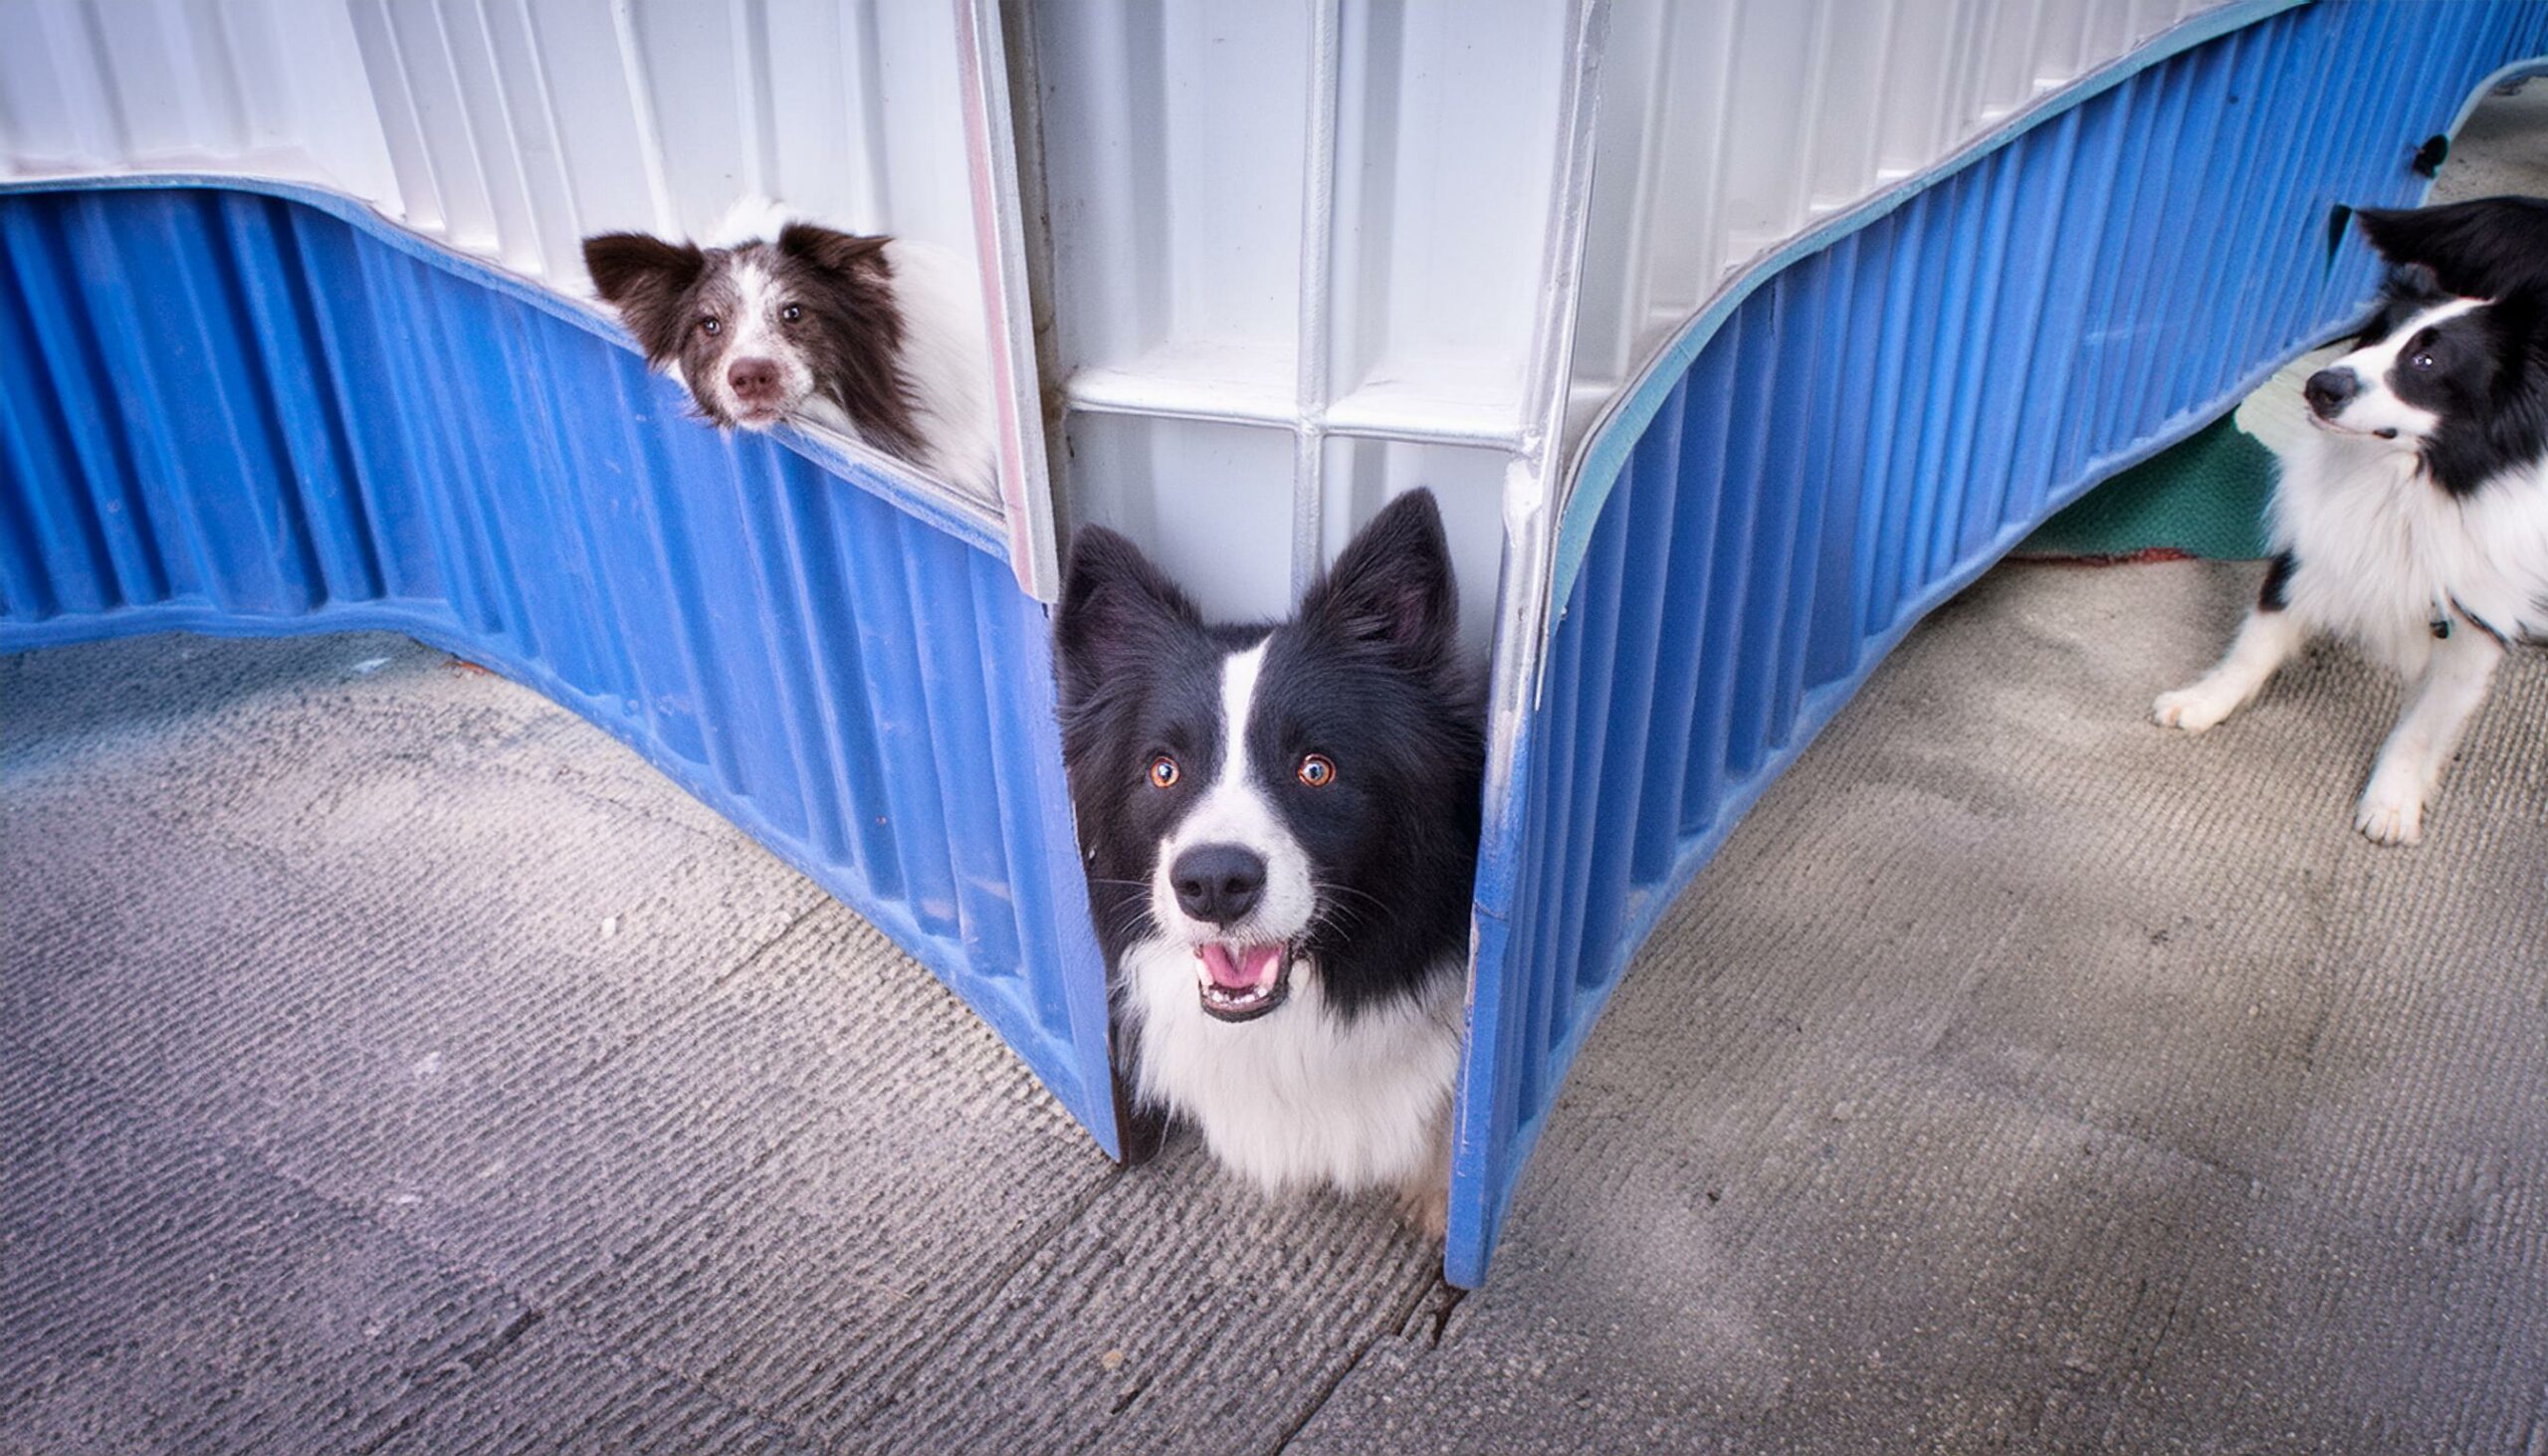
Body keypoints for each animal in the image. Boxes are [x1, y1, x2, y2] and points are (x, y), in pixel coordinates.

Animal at [2150, 198, 2548, 846]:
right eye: (2376, 336)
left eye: (2426, 360)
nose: (2320, 385)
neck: (2409, 481)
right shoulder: (2314, 542)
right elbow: (2256, 642)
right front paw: (2204, 701)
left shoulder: (2478, 615)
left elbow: (2428, 719)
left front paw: (2393, 800)